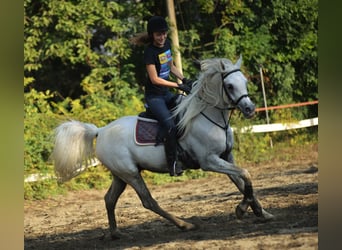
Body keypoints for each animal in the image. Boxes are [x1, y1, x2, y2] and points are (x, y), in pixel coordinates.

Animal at [52, 55, 274, 239]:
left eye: (244, 82)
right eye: (229, 85)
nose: (250, 109)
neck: (207, 116)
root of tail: (101, 130)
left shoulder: (226, 157)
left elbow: (242, 182)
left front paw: (261, 212)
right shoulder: (209, 161)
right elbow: (245, 174)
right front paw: (242, 210)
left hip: (120, 175)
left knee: (109, 199)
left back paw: (115, 233)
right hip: (131, 173)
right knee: (148, 201)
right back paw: (185, 225)